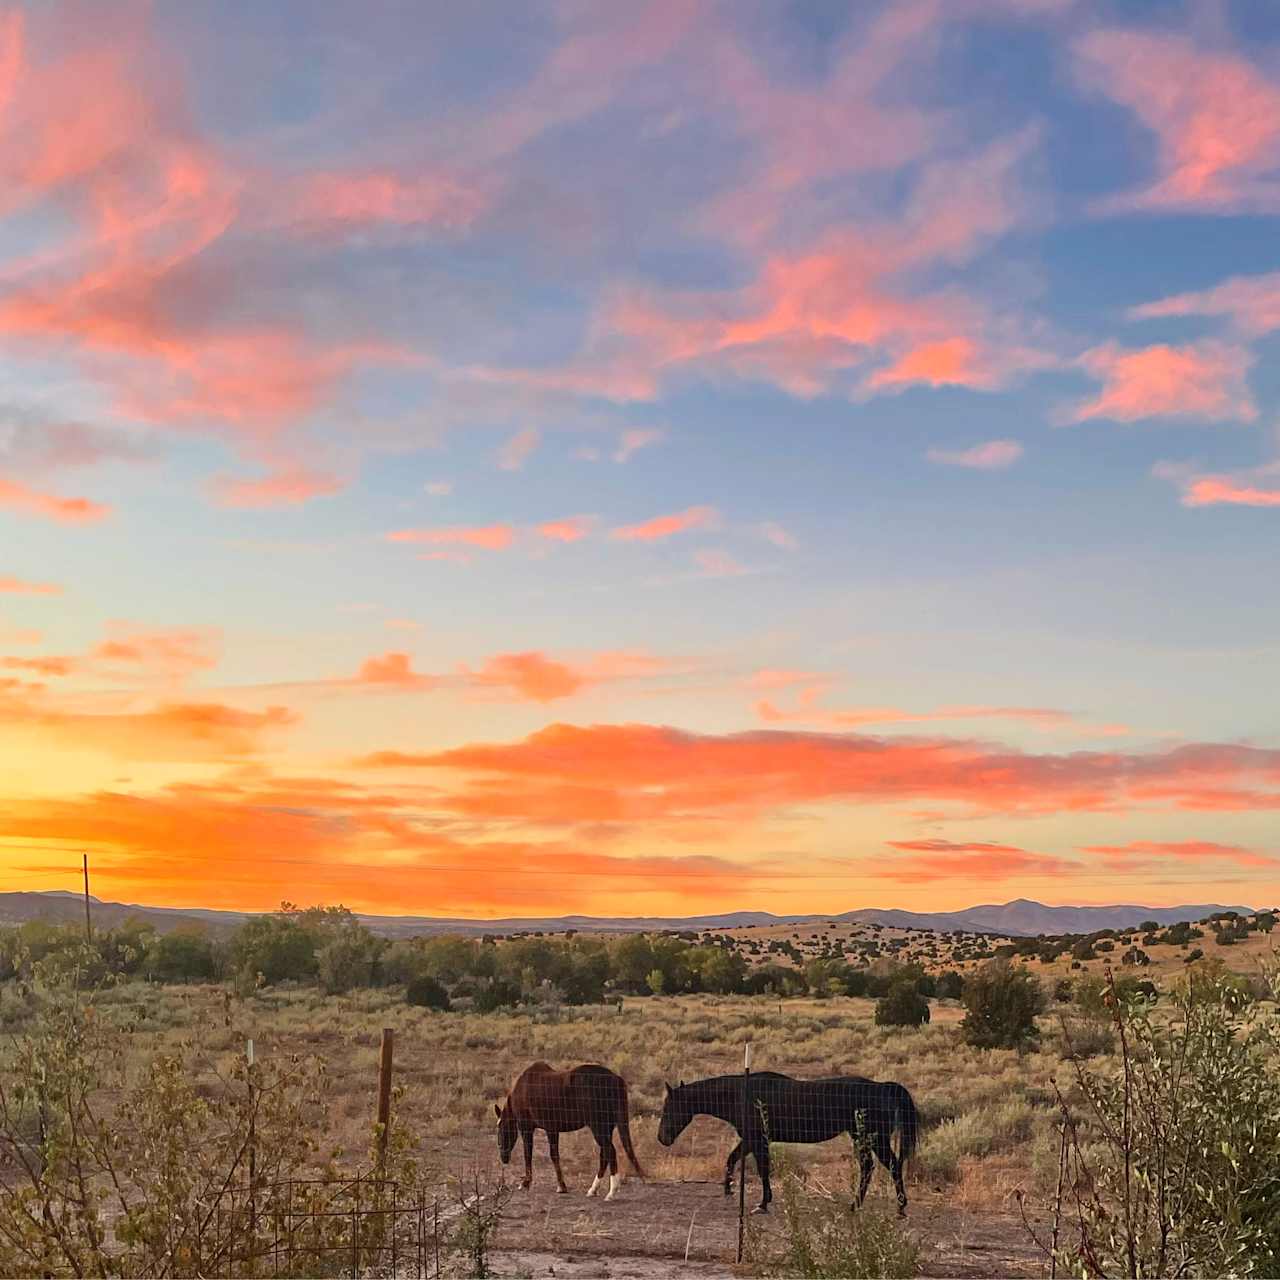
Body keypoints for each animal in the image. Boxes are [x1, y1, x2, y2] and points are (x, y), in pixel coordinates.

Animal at [494, 1059, 645, 1198]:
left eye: (501, 1129)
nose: (504, 1157)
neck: (522, 1088)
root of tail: (616, 1079)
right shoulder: (552, 1129)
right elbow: (553, 1155)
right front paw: (561, 1185)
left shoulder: (528, 1128)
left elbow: (530, 1154)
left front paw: (527, 1183)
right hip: (606, 1128)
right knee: (605, 1155)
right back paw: (593, 1190)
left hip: (598, 1127)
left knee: (610, 1152)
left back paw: (611, 1192)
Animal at [655, 1070, 916, 1208]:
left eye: (669, 1108)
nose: (662, 1138)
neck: (742, 1094)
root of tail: (882, 1087)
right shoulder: (751, 1140)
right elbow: (734, 1160)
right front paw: (730, 1190)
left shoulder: (756, 1140)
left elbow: (762, 1168)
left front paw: (762, 1202)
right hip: (862, 1138)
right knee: (870, 1167)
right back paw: (861, 1204)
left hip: (874, 1139)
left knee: (888, 1166)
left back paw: (897, 1206)